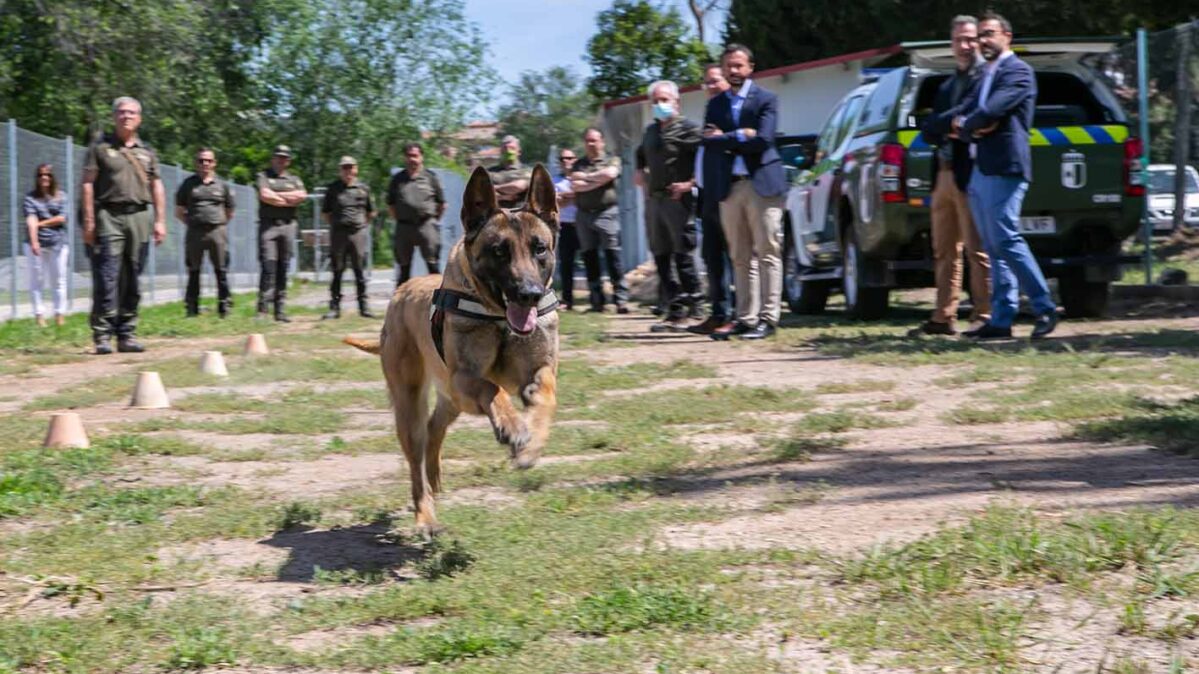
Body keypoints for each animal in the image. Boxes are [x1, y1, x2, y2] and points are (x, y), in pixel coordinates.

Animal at [342, 164, 556, 530]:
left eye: (539, 248)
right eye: (499, 251)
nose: (529, 294)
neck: (498, 318)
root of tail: (401, 292)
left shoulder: (539, 368)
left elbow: (545, 391)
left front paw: (531, 443)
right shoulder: (464, 378)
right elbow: (493, 387)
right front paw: (513, 426)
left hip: (451, 401)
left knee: (434, 430)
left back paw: (436, 477)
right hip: (412, 405)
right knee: (417, 457)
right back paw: (426, 515)